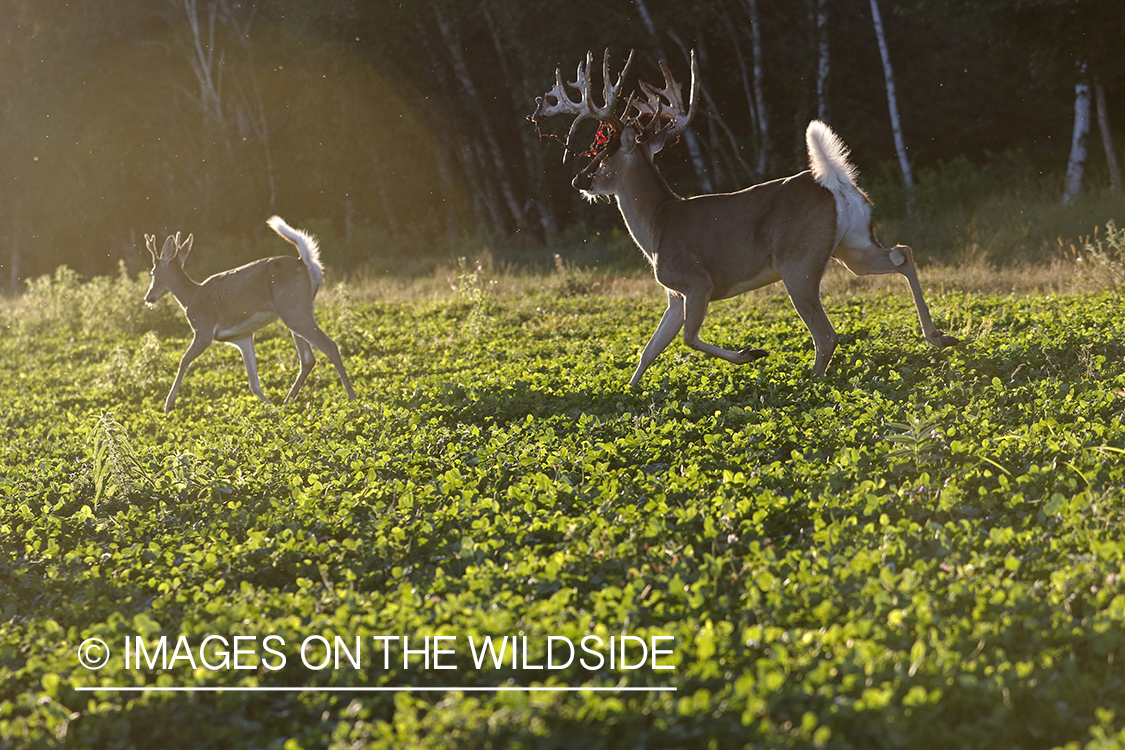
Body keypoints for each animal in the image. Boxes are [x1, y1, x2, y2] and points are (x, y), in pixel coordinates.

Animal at [142, 217, 355, 413]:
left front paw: (168, 406)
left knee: (330, 346)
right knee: (308, 359)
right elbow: (253, 383)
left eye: (152, 272)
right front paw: (270, 407)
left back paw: (353, 400)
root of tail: (306, 263)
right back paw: (286, 403)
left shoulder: (203, 331)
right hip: (294, 313)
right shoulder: (243, 337)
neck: (191, 297)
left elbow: (183, 361)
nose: (148, 297)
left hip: (295, 311)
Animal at [531, 49, 954, 386]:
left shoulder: (697, 281)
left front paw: (752, 353)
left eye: (603, 155)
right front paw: (631, 390)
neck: (657, 227)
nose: (579, 179)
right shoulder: (673, 294)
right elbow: (649, 349)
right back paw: (939, 337)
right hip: (853, 247)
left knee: (827, 334)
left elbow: (687, 338)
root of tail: (834, 183)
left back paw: (810, 381)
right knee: (903, 253)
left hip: (798, 262)